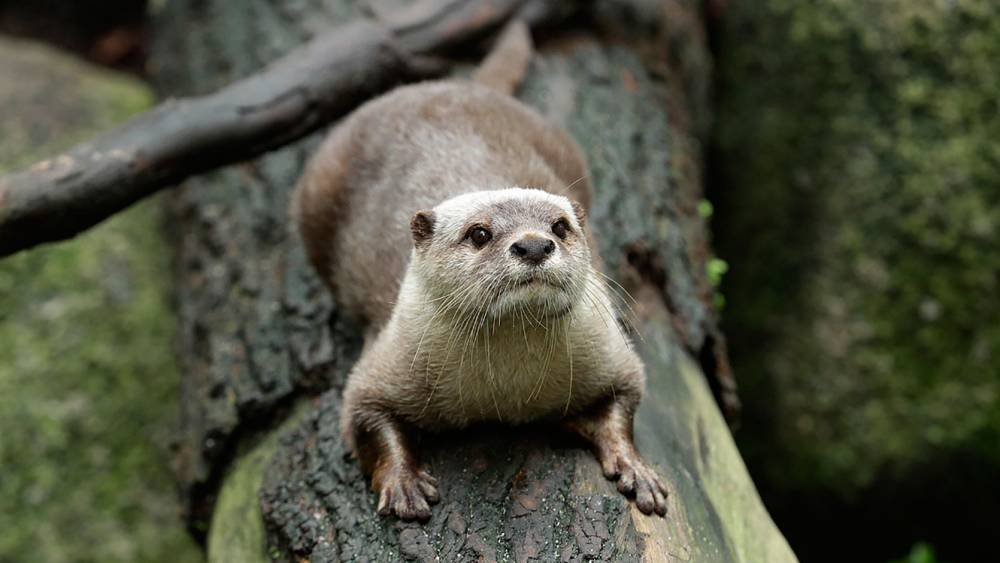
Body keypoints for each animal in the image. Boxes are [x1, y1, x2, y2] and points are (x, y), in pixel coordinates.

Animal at [293, 22, 667, 521]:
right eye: (479, 233)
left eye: (559, 226)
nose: (534, 244)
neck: (504, 394)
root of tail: (454, 86)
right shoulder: (382, 365)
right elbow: (366, 419)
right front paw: (404, 482)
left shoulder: (610, 353)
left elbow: (624, 403)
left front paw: (636, 469)